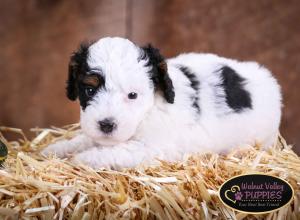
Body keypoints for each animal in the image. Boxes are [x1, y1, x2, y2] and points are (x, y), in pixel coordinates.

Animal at [41, 37, 282, 169]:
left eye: (132, 95)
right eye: (89, 89)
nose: (106, 125)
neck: (148, 111)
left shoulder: (154, 148)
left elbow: (120, 150)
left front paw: (86, 158)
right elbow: (83, 139)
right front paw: (56, 149)